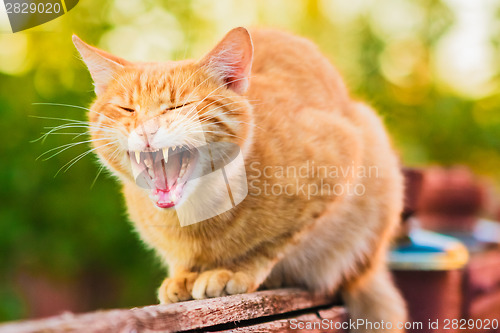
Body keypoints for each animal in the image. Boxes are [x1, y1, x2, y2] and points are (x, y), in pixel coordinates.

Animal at [73, 27, 406, 330]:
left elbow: (271, 244)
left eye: (179, 106)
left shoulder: (342, 158)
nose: (146, 130)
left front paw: (235, 271)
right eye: (127, 108)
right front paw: (182, 275)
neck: (195, 217)